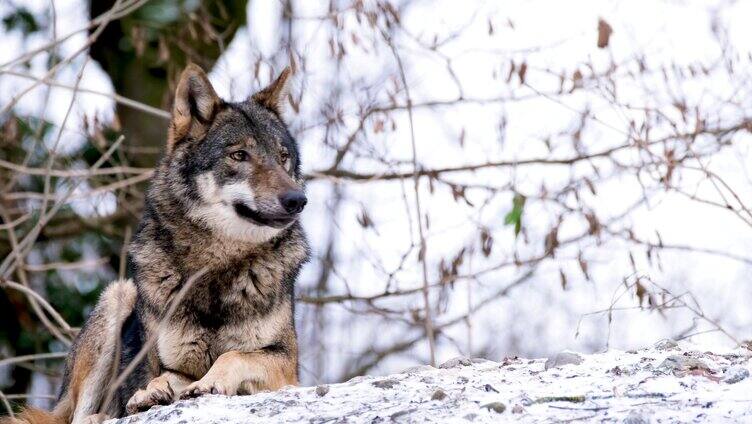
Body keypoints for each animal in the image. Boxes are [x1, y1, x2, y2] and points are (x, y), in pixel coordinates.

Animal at [5, 63, 308, 424]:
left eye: (283, 157)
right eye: (239, 155)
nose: (297, 199)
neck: (215, 269)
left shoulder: (286, 367)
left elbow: (234, 356)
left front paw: (205, 383)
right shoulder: (167, 363)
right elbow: (164, 376)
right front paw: (151, 392)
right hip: (118, 296)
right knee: (80, 415)